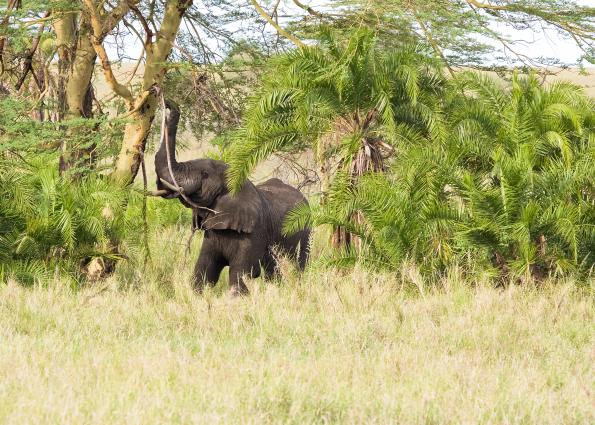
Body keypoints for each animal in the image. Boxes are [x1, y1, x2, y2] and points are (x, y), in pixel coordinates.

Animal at [154, 100, 312, 294]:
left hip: (305, 229)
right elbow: (204, 269)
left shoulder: (254, 232)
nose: (168, 104)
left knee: (296, 264)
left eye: (205, 174)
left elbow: (240, 273)